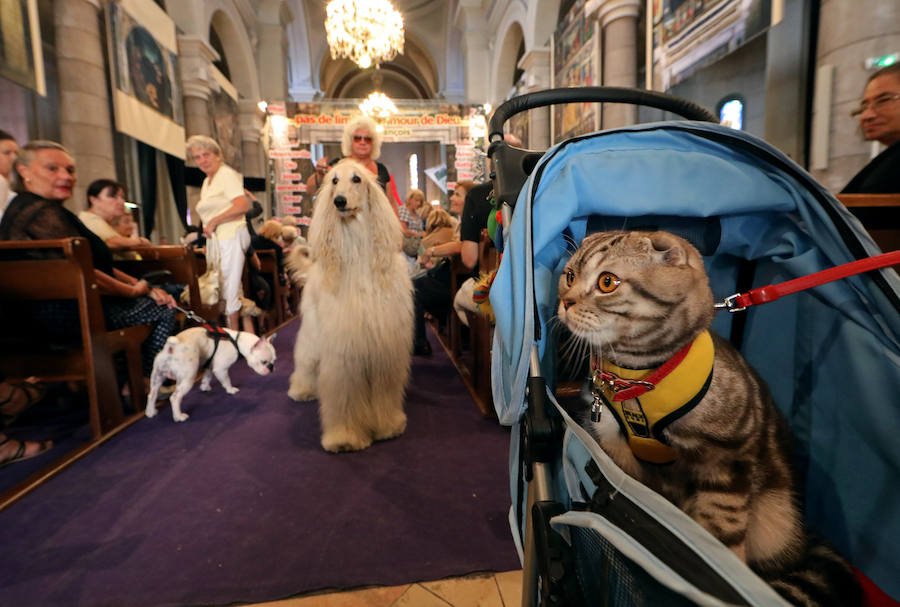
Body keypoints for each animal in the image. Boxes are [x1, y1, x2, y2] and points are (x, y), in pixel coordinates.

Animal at [147, 328, 278, 422]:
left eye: (274, 361)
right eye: (264, 362)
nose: (271, 368)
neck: (236, 342)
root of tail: (171, 348)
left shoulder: (210, 366)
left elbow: (207, 377)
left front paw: (204, 387)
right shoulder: (221, 369)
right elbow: (226, 380)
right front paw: (231, 390)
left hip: (157, 375)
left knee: (152, 394)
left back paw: (150, 412)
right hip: (188, 376)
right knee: (175, 397)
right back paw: (179, 417)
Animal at [288, 159, 414, 454]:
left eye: (357, 179)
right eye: (334, 180)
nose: (339, 201)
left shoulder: (383, 348)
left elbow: (384, 392)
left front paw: (387, 426)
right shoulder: (344, 349)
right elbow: (344, 396)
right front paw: (345, 437)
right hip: (313, 333)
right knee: (306, 360)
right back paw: (302, 389)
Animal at [560, 230, 860, 604]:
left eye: (607, 282)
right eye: (569, 276)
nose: (565, 301)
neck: (635, 376)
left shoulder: (727, 461)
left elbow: (721, 533)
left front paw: (715, 564)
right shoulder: (613, 447)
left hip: (776, 518)